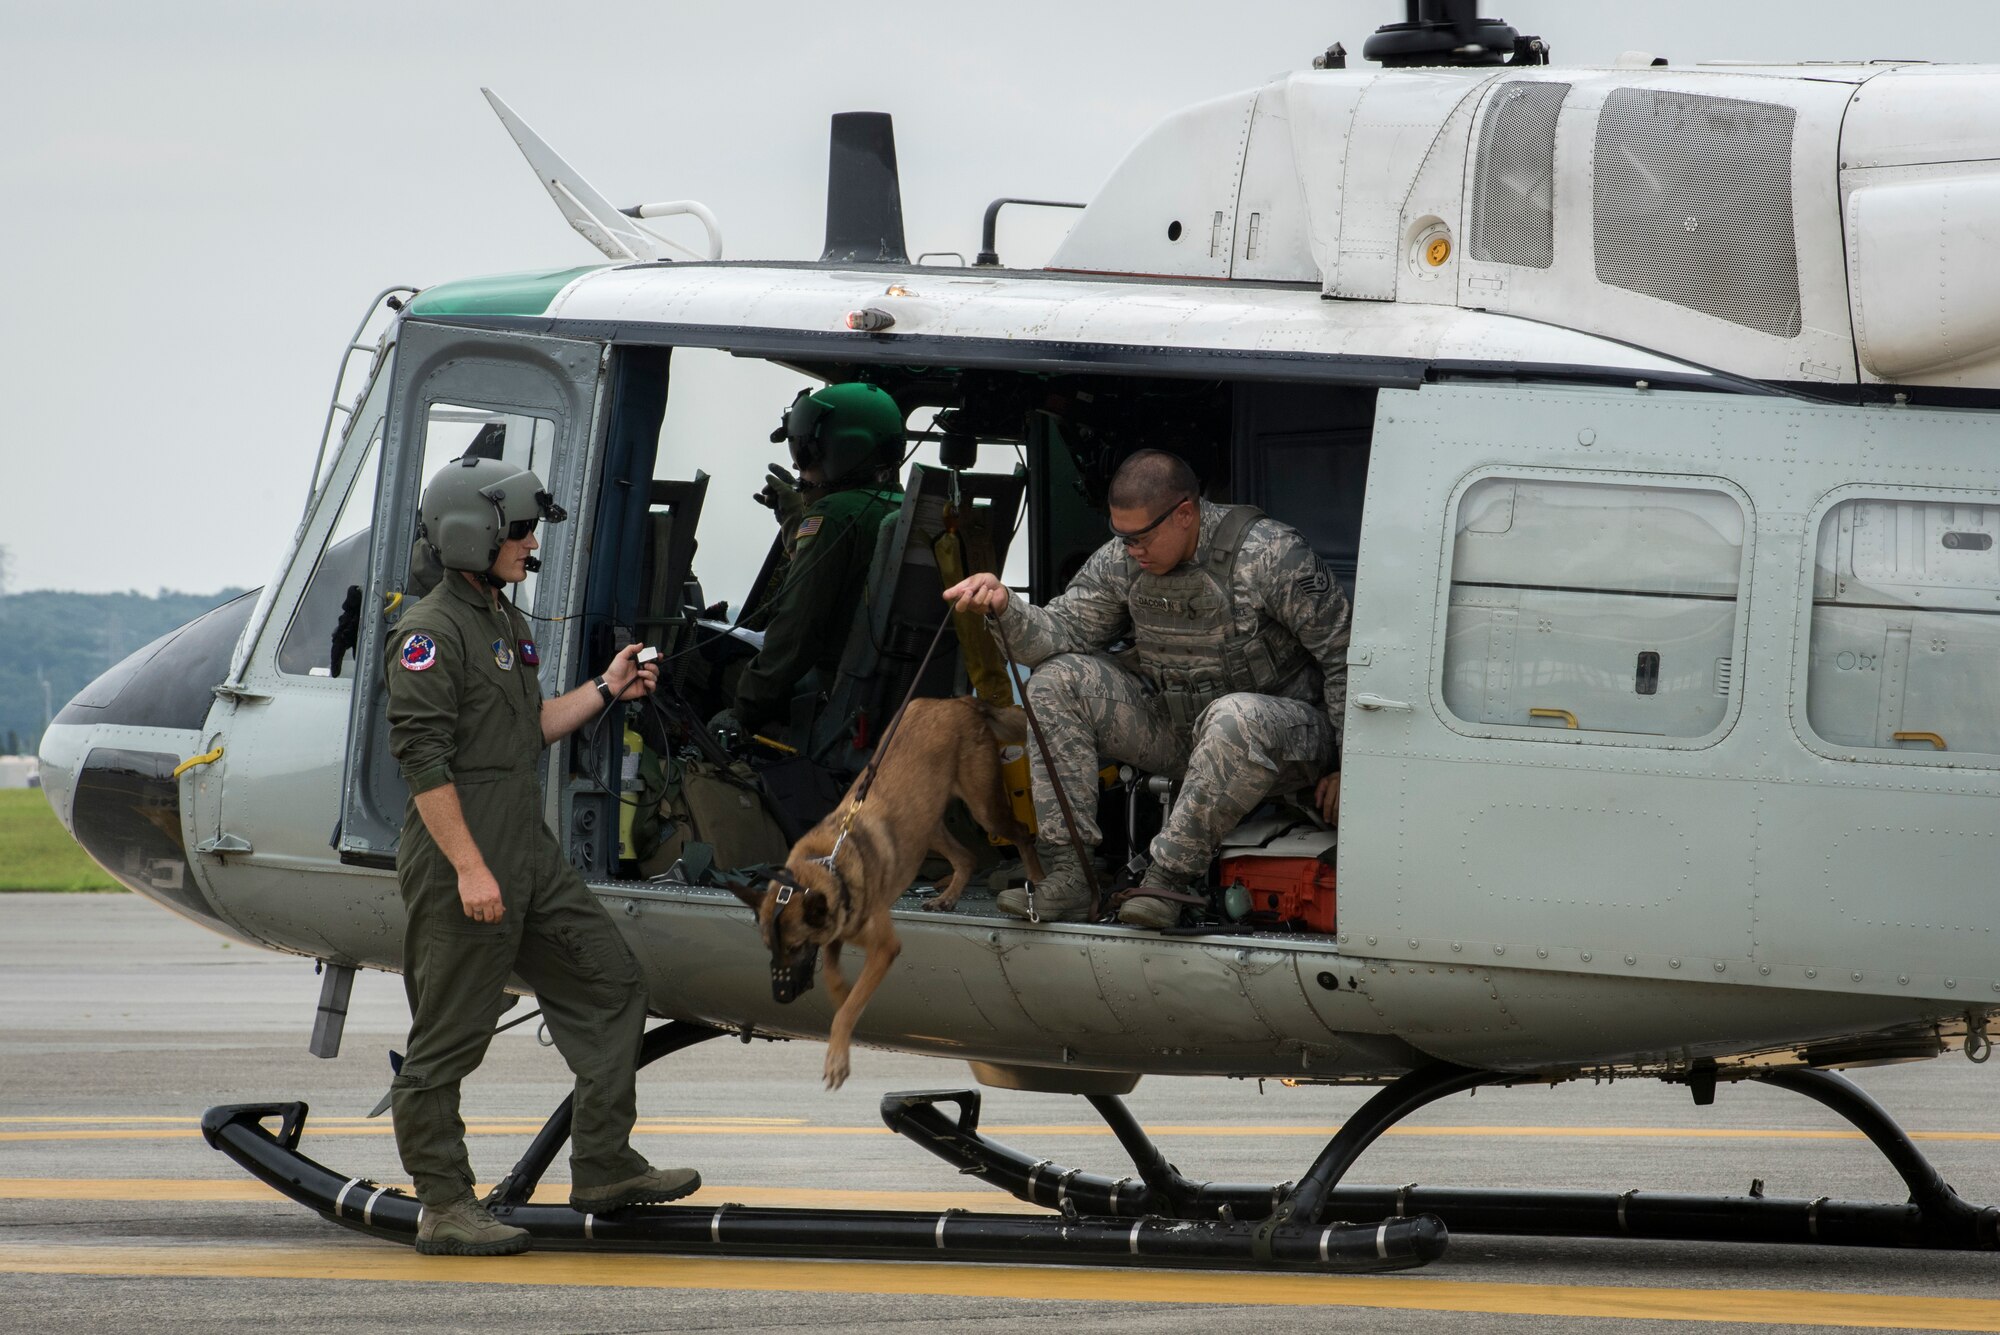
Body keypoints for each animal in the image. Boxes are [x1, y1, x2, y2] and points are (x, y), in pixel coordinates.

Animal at [736, 695, 1048, 1087]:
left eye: (793, 948)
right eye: (769, 948)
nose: (779, 998)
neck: (829, 863)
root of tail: (958, 701)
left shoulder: (884, 947)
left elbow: (848, 1003)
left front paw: (838, 1055)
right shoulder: (837, 935)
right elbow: (836, 980)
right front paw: (845, 1001)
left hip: (983, 808)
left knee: (1021, 832)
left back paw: (1036, 877)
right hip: (926, 824)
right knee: (967, 856)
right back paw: (948, 897)